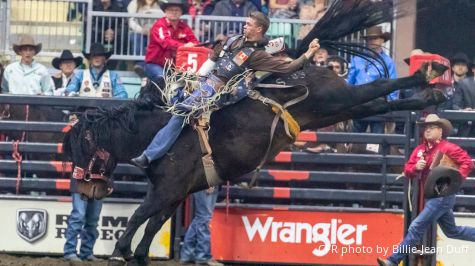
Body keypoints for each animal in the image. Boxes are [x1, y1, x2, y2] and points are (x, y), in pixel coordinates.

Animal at [61, 1, 452, 264]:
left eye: (80, 150)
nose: (86, 188)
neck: (154, 134)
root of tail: (302, 63)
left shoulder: (168, 188)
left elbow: (141, 215)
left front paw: (120, 250)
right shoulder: (177, 191)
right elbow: (155, 222)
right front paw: (138, 254)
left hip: (338, 99)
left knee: (382, 87)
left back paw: (427, 76)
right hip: (340, 108)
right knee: (379, 103)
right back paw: (429, 93)